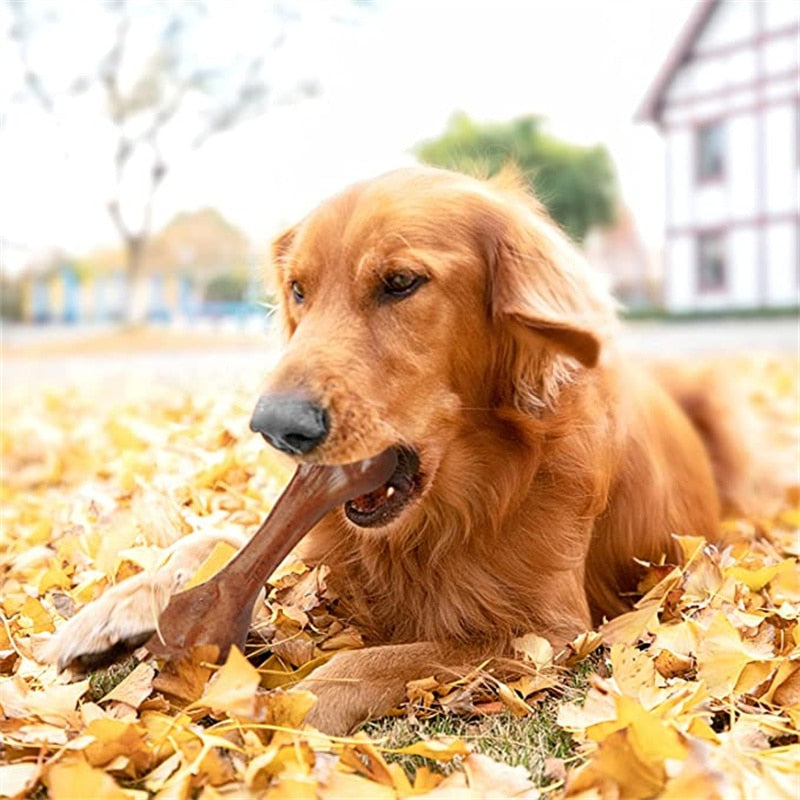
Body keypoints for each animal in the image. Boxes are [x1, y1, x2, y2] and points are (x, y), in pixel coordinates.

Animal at [42, 166, 752, 736]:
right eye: (298, 290)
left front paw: (287, 711)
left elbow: (377, 657)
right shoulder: (327, 543)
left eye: (402, 282)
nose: (275, 427)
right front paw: (113, 612)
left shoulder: (549, 632)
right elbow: (218, 540)